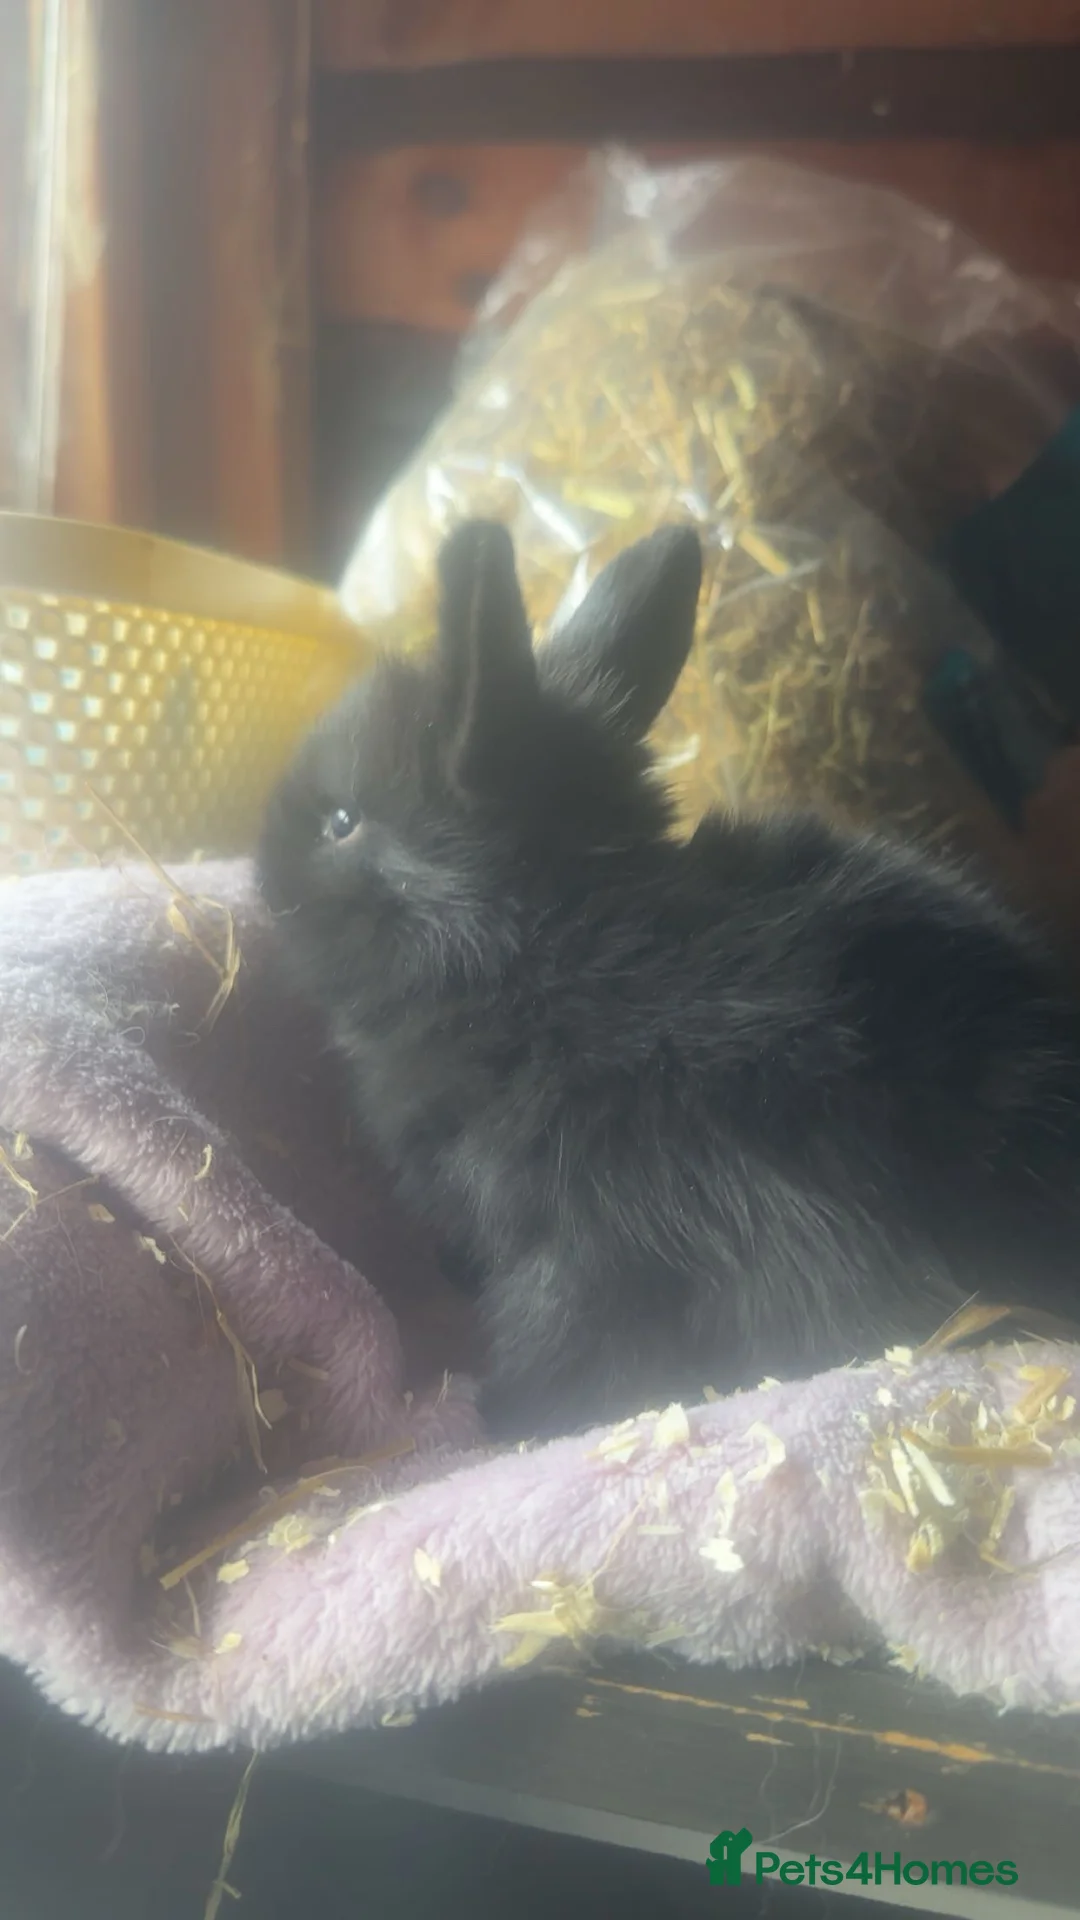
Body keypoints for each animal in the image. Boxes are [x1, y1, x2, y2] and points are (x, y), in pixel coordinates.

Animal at [258, 519, 1080, 1441]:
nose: (261, 870)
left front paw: (507, 1417)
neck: (535, 952)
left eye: (340, 821)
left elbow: (556, 1329)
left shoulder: (573, 1237)